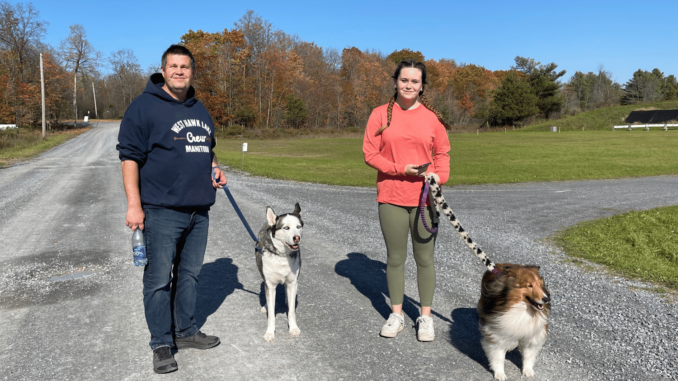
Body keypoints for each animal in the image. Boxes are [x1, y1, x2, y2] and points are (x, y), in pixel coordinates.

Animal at [256, 202, 304, 342]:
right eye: (286, 228)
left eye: (298, 226)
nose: (297, 238)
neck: (282, 255)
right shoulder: (270, 285)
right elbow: (272, 314)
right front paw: (270, 332)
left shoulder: (293, 282)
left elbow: (292, 311)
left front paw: (293, 328)